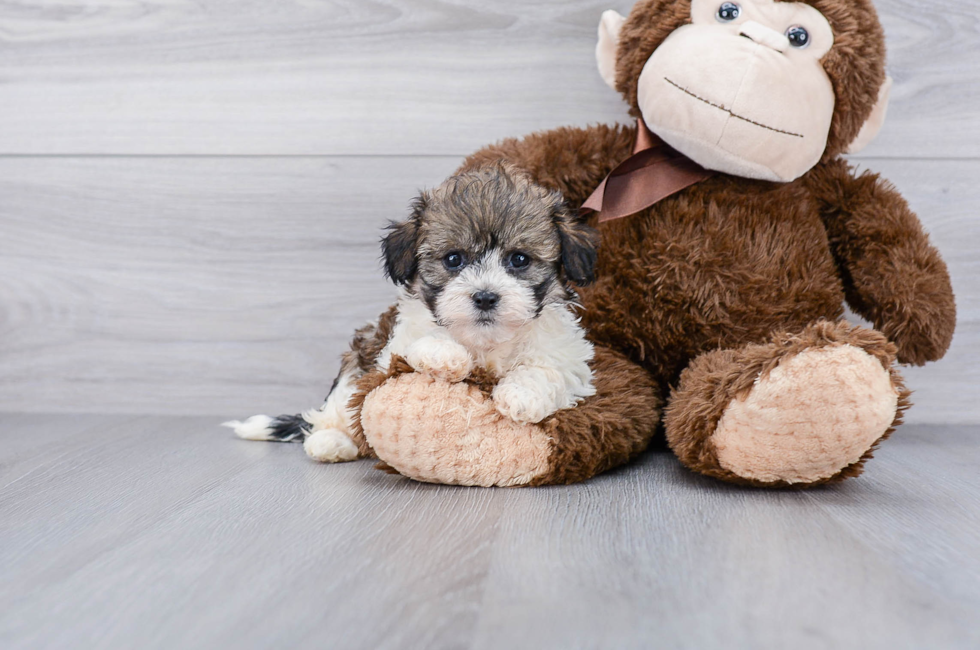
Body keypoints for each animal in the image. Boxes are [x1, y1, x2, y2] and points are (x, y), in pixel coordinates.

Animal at [224, 166, 596, 460]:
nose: (485, 297)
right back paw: (331, 442)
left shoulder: (568, 355)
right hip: (357, 362)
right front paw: (445, 355)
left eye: (519, 259)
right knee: (336, 409)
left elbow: (547, 370)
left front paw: (521, 396)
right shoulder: (393, 344)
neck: (485, 340)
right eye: (453, 259)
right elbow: (424, 339)